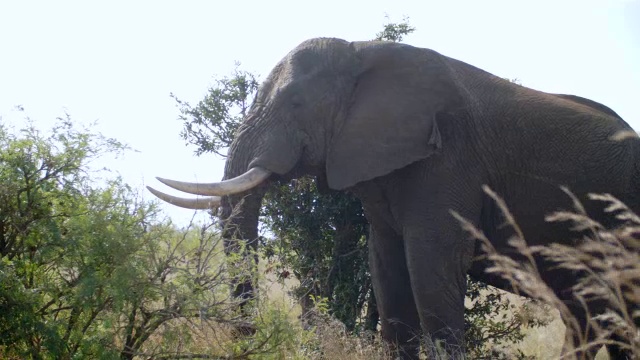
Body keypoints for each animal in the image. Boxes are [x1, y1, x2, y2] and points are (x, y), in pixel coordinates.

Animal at [148, 38, 636, 358]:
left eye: (296, 104)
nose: (247, 338)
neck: (363, 52)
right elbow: (388, 274)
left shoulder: (449, 159)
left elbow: (430, 273)